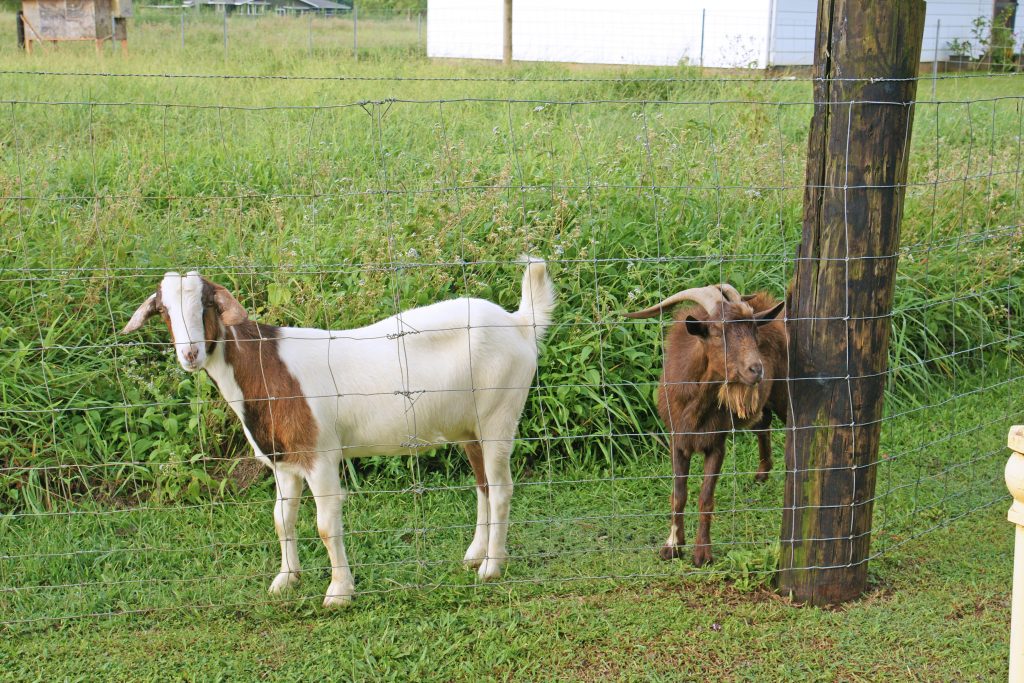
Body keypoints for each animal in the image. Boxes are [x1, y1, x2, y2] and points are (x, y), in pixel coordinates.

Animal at [122, 259, 557, 606]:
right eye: (163, 310)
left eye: (207, 304)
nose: (190, 354)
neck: (264, 368)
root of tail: (519, 324)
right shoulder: (284, 461)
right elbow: (282, 518)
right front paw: (286, 579)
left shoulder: (320, 456)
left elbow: (326, 525)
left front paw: (339, 592)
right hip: (469, 426)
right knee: (483, 485)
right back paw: (475, 554)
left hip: (499, 413)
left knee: (501, 488)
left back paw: (492, 567)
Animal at [626, 282, 786, 565]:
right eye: (718, 332)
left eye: (754, 329)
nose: (756, 370)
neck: (695, 407)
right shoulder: (677, 441)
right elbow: (678, 495)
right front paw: (672, 546)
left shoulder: (716, 444)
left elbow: (705, 498)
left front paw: (702, 553)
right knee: (762, 423)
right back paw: (762, 473)